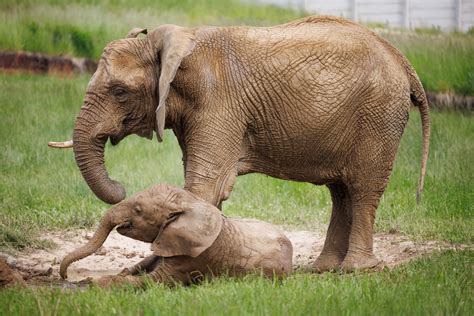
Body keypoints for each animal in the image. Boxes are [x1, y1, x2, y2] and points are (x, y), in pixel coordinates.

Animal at [51, 16, 430, 270]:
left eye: (119, 92)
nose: (120, 186)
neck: (173, 44)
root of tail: (405, 62)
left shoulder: (218, 103)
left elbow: (205, 185)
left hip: (379, 116)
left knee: (363, 189)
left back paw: (354, 270)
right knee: (341, 191)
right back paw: (322, 269)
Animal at [60, 183, 292, 286]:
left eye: (138, 210)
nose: (65, 276)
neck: (190, 203)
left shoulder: (195, 256)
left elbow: (153, 281)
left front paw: (96, 282)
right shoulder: (168, 241)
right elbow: (141, 266)